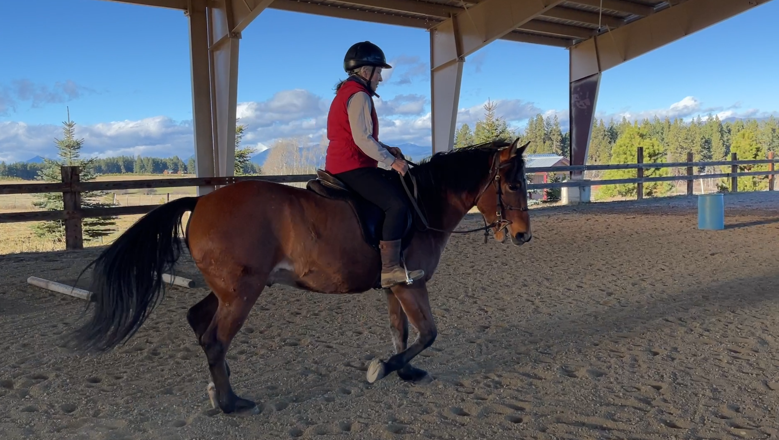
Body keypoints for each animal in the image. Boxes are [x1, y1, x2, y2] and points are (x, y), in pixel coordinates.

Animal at [73, 138, 532, 414]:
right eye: (512, 185)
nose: (523, 236)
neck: (423, 205)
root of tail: (201, 202)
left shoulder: (394, 286)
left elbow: (402, 332)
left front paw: (403, 371)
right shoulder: (412, 283)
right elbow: (428, 333)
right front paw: (382, 369)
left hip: (227, 290)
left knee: (198, 321)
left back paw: (217, 390)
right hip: (242, 292)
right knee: (215, 339)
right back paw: (231, 403)